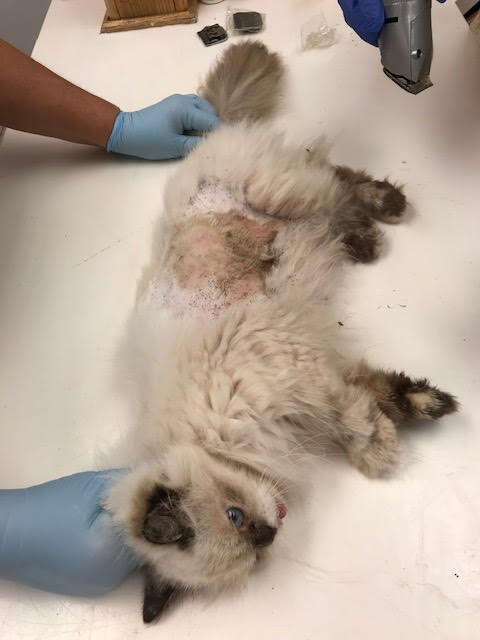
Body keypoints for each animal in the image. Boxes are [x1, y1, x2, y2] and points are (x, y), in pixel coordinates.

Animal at [105, 42, 458, 624]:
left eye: (234, 515)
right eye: (251, 548)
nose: (273, 530)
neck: (211, 441)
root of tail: (215, 133)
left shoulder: (303, 376)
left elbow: (357, 420)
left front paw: (379, 454)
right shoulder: (321, 374)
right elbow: (383, 393)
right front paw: (430, 407)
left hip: (279, 191)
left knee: (333, 175)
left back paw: (386, 212)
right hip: (299, 203)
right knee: (334, 191)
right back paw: (365, 237)